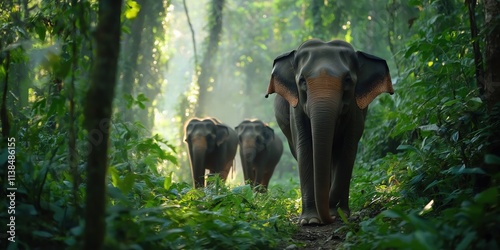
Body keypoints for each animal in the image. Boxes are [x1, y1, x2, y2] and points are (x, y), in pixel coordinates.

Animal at [266, 39, 394, 227]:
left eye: (348, 80)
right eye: (302, 80)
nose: (330, 217)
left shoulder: (355, 109)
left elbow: (347, 150)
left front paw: (338, 213)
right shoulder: (296, 109)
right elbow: (305, 149)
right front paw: (310, 221)